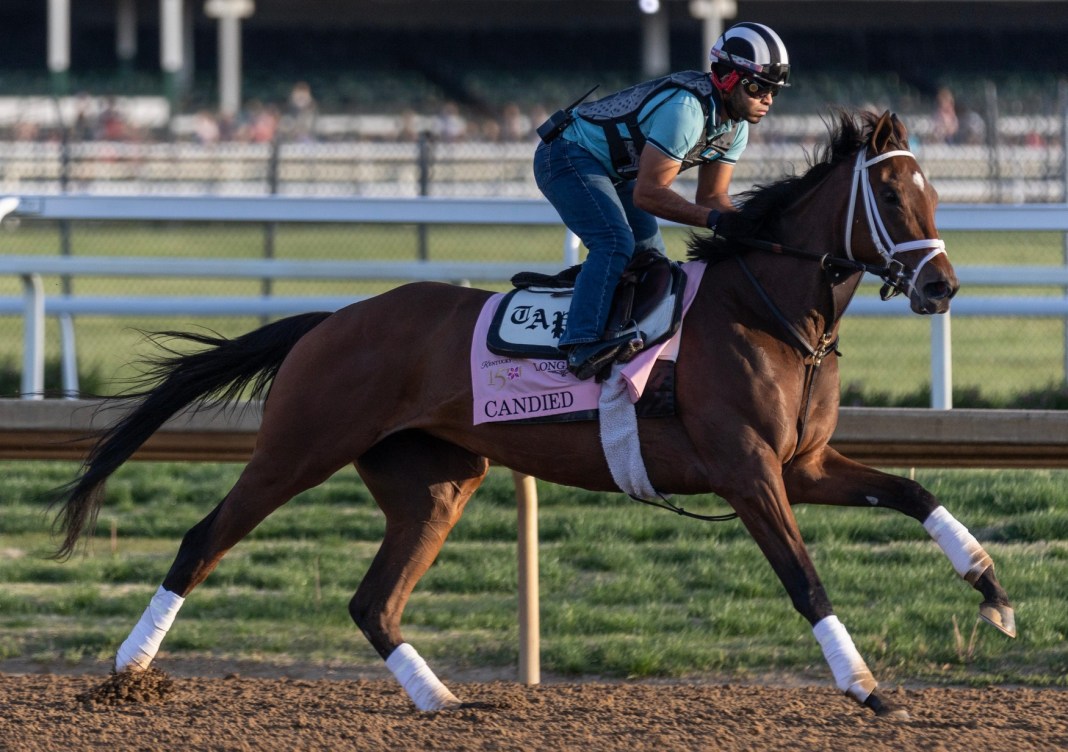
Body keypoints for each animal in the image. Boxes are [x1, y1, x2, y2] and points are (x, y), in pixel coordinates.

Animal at [50, 110, 1014, 719]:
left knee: (373, 602)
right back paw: (129, 670)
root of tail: (330, 321)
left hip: (437, 480)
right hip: (301, 446)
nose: (943, 285)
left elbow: (916, 494)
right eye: (891, 198)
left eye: (933, 195)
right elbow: (804, 578)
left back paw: (440, 700)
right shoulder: (748, 473)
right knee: (204, 539)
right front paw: (865, 686)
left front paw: (994, 592)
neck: (765, 309)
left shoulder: (802, 466)